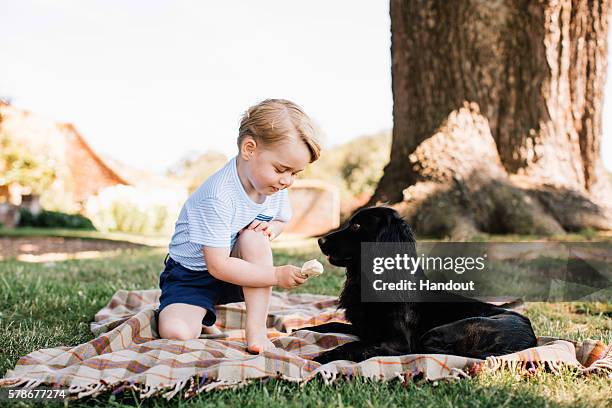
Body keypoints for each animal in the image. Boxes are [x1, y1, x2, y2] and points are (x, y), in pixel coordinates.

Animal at [298, 207, 536, 364]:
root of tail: (531, 339)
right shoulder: (364, 328)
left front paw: (322, 356)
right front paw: (300, 330)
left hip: (436, 333)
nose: (320, 241)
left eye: (356, 226)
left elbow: (354, 345)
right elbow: (330, 324)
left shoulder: (398, 342)